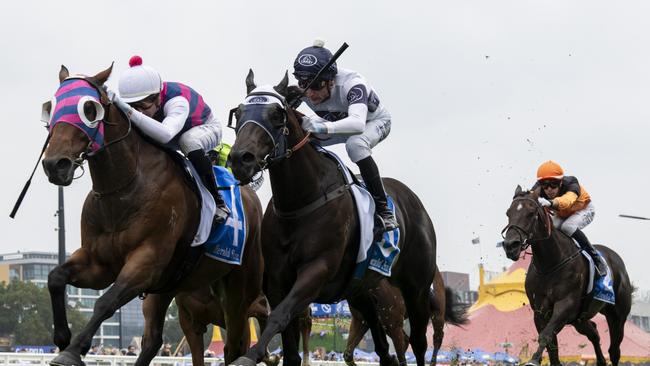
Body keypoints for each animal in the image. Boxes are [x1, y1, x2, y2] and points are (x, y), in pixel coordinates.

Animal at [40, 66, 262, 366]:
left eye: (88, 109)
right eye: (51, 108)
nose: (55, 164)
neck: (124, 188)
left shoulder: (147, 260)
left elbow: (105, 302)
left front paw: (74, 350)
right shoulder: (99, 263)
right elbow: (55, 278)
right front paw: (63, 338)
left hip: (240, 288)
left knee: (236, 343)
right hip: (169, 286)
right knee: (153, 340)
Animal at [228, 71, 440, 366]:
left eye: (276, 115)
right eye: (238, 113)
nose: (240, 159)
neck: (301, 202)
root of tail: (415, 202)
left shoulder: (317, 270)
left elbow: (279, 316)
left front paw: (250, 356)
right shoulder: (277, 278)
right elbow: (288, 346)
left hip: (416, 287)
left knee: (418, 342)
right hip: (361, 290)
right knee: (383, 346)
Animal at [498, 186, 632, 366]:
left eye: (531, 213)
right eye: (508, 213)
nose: (510, 246)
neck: (550, 264)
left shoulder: (565, 305)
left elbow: (546, 335)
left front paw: (533, 360)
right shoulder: (540, 311)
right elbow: (552, 346)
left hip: (617, 316)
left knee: (614, 350)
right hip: (579, 319)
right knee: (594, 333)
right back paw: (600, 360)